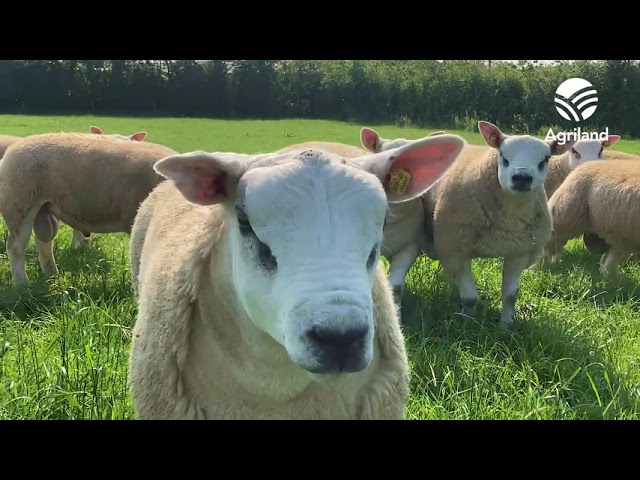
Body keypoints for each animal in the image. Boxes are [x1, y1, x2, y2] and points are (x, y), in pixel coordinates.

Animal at [0, 131, 178, 286]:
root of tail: (10, 153)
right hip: (19, 204)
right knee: (15, 247)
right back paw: (22, 285)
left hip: (43, 209)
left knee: (43, 243)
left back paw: (52, 275)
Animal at [422, 122, 576, 328]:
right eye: (503, 156)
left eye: (546, 159)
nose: (522, 178)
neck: (508, 219)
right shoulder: (457, 250)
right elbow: (470, 298)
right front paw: (468, 324)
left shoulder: (518, 252)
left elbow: (511, 296)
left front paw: (505, 326)